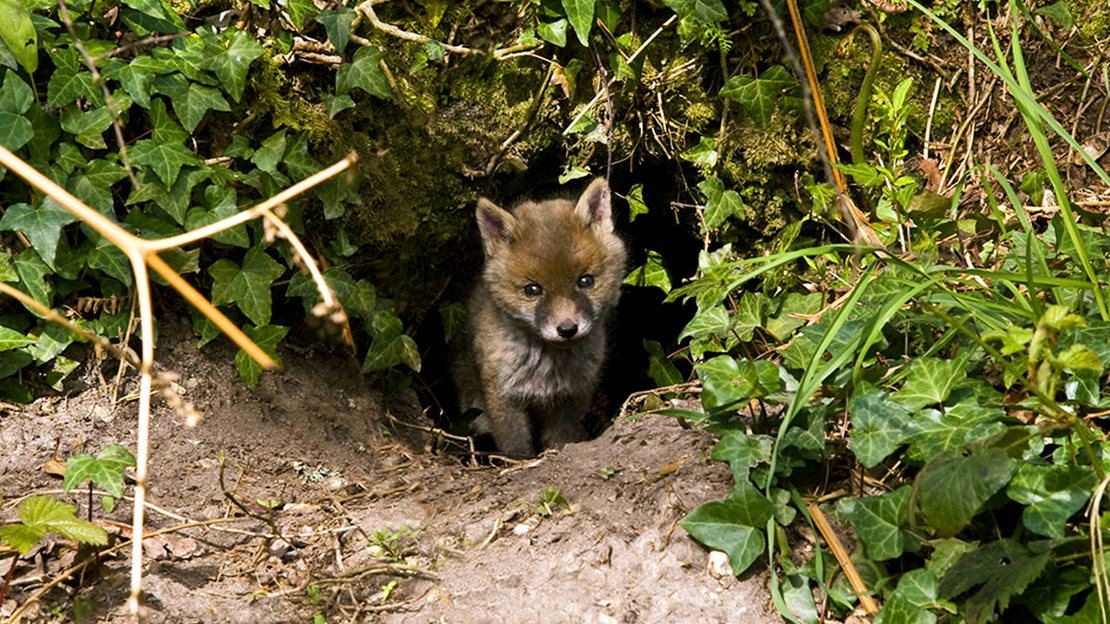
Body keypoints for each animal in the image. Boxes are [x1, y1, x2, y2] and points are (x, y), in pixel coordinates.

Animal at [452, 178, 627, 458]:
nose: (567, 328)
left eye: (586, 281)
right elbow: (515, 446)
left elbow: (563, 439)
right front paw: (520, 463)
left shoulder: (573, 398)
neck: (547, 371)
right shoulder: (502, 396)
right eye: (532, 290)